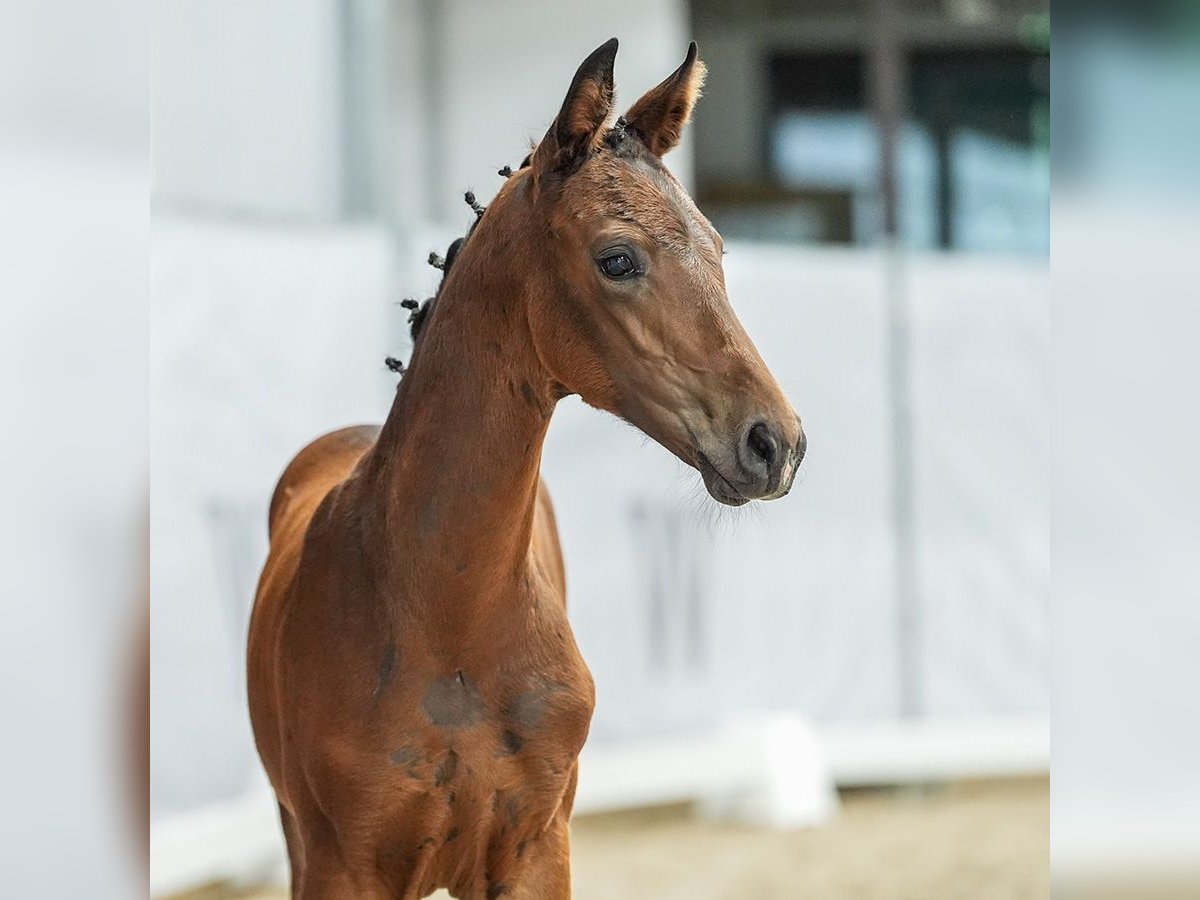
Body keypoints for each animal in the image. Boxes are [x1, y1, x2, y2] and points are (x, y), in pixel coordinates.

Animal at [244, 38, 806, 897]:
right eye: (617, 258)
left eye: (716, 249)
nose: (774, 442)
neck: (450, 621)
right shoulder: (343, 863)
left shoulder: (537, 845)